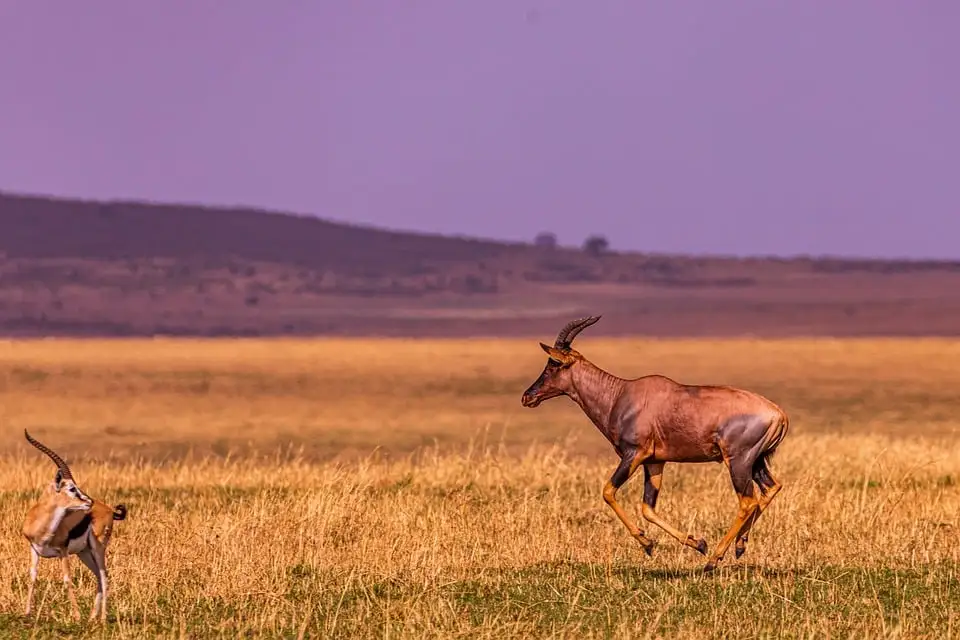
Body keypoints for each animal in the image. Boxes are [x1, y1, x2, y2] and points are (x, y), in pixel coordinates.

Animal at [20, 430, 127, 620]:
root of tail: (109, 510)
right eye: (71, 488)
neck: (43, 527)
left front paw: (76, 616)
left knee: (104, 575)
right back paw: (92, 618)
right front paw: (26, 613)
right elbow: (32, 576)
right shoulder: (33, 548)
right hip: (84, 553)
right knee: (98, 575)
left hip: (97, 548)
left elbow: (67, 578)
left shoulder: (62, 551)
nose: (89, 501)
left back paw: (102, 618)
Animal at [524, 318, 788, 572]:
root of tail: (779, 414)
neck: (620, 394)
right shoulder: (655, 462)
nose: (528, 396)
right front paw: (696, 543)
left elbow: (608, 491)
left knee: (748, 502)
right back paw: (739, 546)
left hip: (738, 462)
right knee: (770, 488)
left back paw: (713, 560)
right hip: (756, 461)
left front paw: (648, 543)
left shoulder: (634, 454)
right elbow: (647, 508)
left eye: (554, 364)